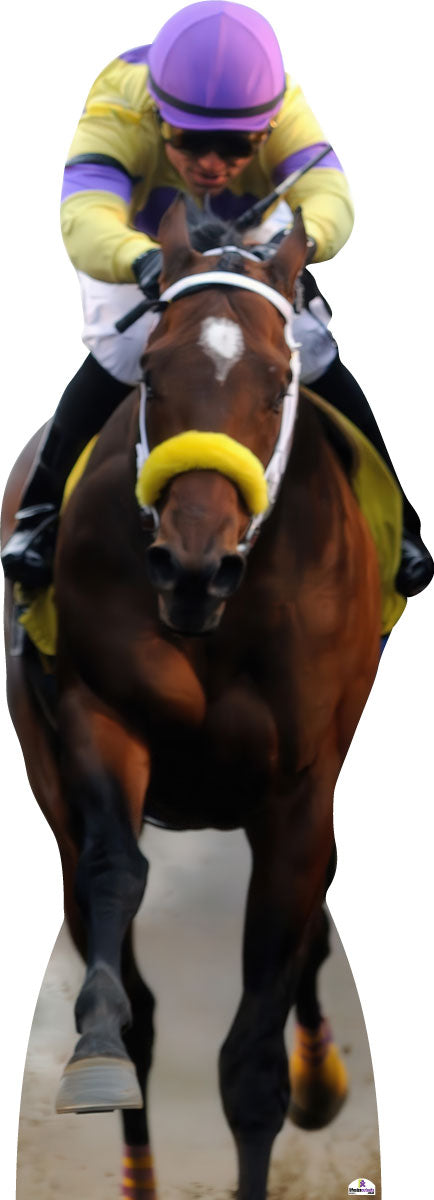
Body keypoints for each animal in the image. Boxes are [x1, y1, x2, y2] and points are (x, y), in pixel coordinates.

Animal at [2, 196, 382, 1200]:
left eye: (279, 377)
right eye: (152, 371)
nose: (192, 565)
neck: (220, 618)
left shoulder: (298, 791)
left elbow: (253, 1065)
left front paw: (297, 1078)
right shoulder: (99, 714)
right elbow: (114, 878)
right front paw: (99, 1047)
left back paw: (321, 1070)